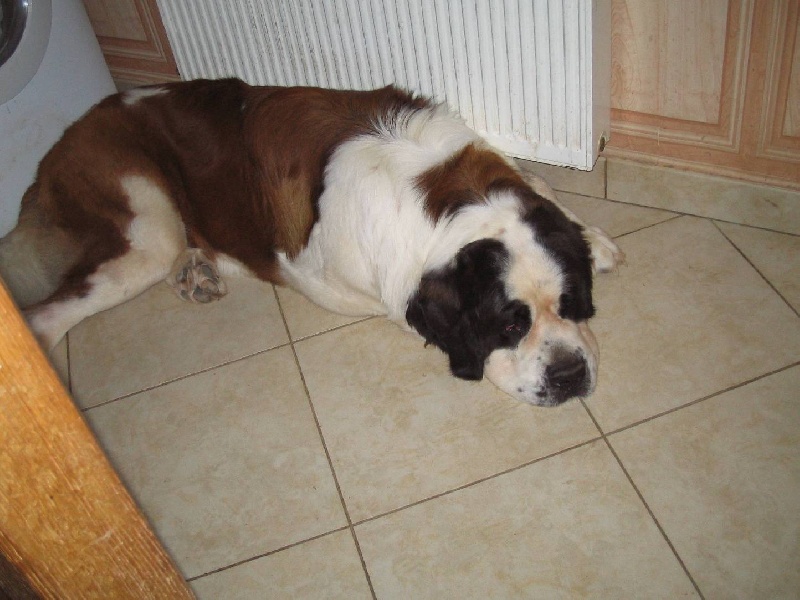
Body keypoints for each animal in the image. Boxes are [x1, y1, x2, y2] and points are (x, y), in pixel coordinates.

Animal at [0, 79, 623, 406]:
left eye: (571, 305)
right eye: (510, 326)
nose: (569, 375)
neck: (449, 198)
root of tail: (60, 143)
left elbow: (541, 182)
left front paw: (591, 236)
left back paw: (197, 271)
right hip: (143, 227)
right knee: (48, 313)